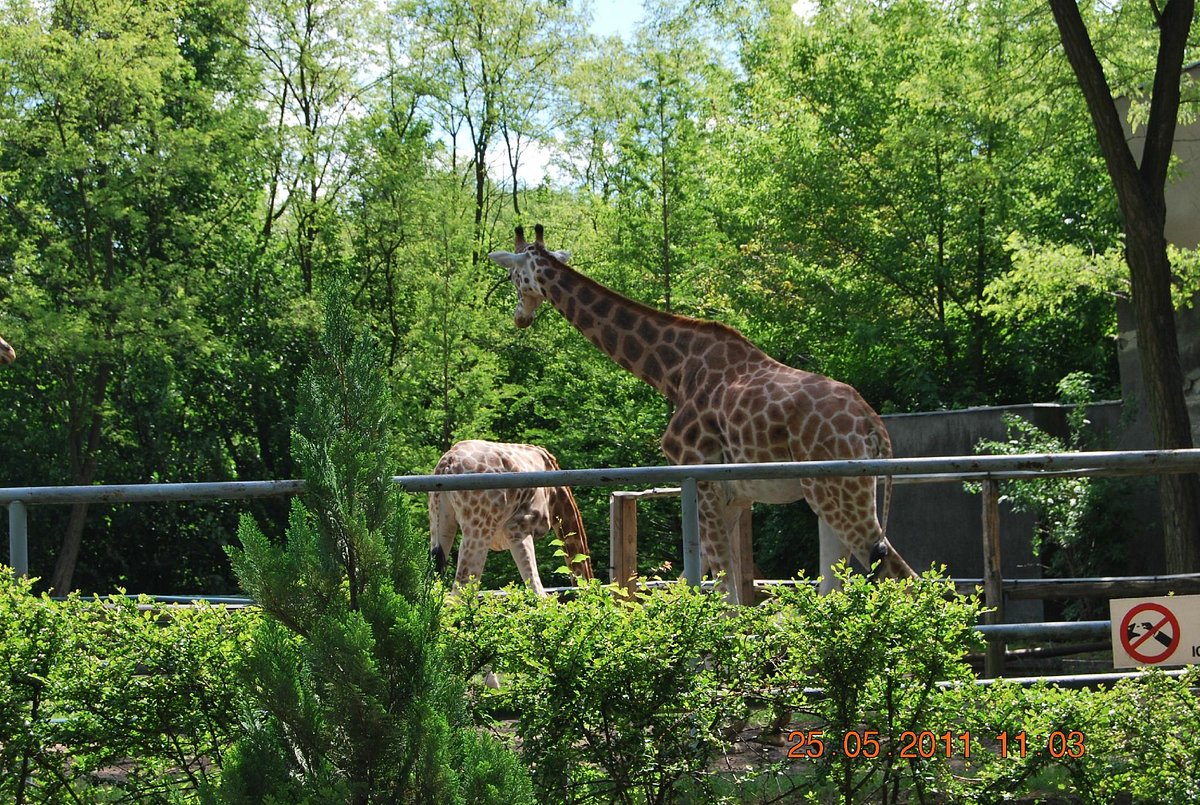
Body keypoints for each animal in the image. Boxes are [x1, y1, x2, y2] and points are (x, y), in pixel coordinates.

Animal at [429, 436, 592, 595]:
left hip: (439, 521)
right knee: (461, 586)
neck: (555, 496)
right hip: (479, 527)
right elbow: (538, 592)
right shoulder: (519, 528)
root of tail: (448, 461)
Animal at [489, 223, 916, 602]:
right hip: (832, 492)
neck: (674, 372)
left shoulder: (699, 472)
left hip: (838, 492)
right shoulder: (734, 495)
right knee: (837, 582)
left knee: (899, 572)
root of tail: (875, 427)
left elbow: (722, 584)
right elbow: (713, 578)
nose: (519, 318)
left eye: (512, 276)